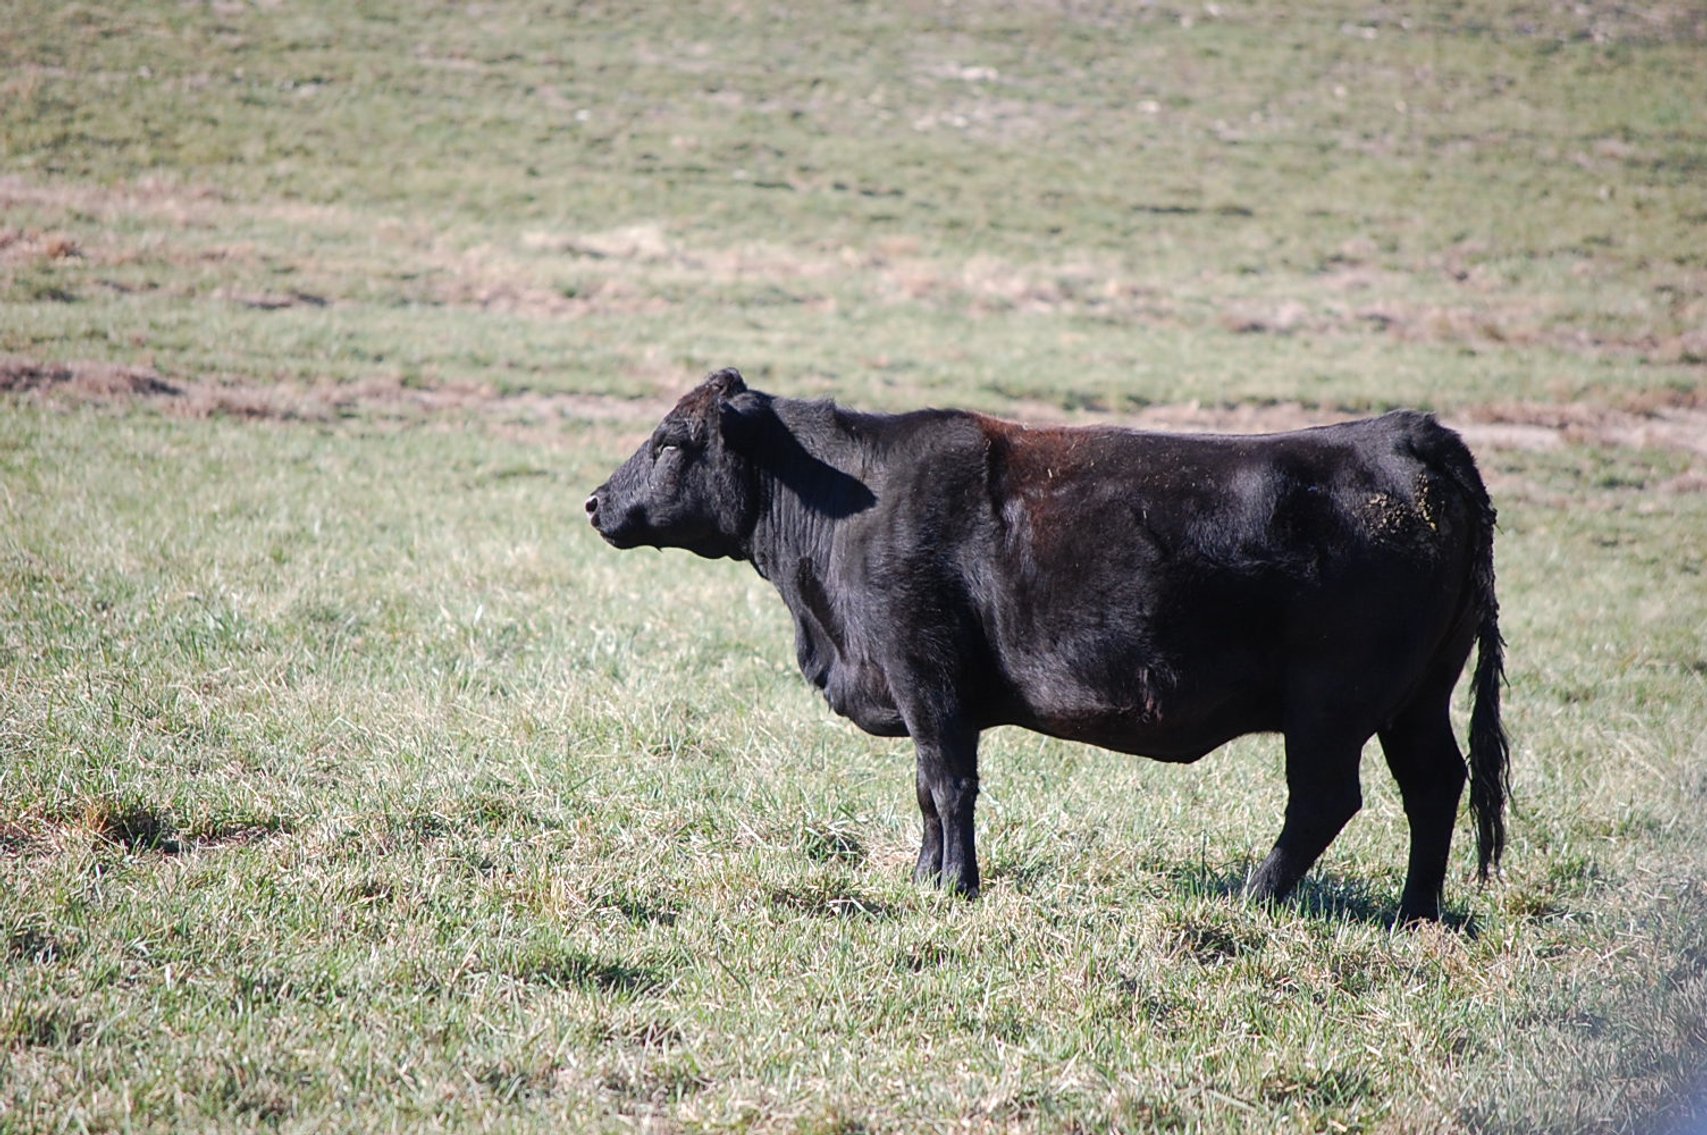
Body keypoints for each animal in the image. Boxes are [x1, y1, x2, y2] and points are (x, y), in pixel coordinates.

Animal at [586, 368, 1509, 923]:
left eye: (669, 440)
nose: (595, 502)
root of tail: (1407, 434)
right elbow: (926, 793)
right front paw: (924, 874)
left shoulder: (926, 677)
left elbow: (947, 783)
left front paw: (955, 884)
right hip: (1416, 697)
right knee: (1435, 785)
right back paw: (1414, 913)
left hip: (1330, 706)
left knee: (1324, 800)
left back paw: (1253, 895)